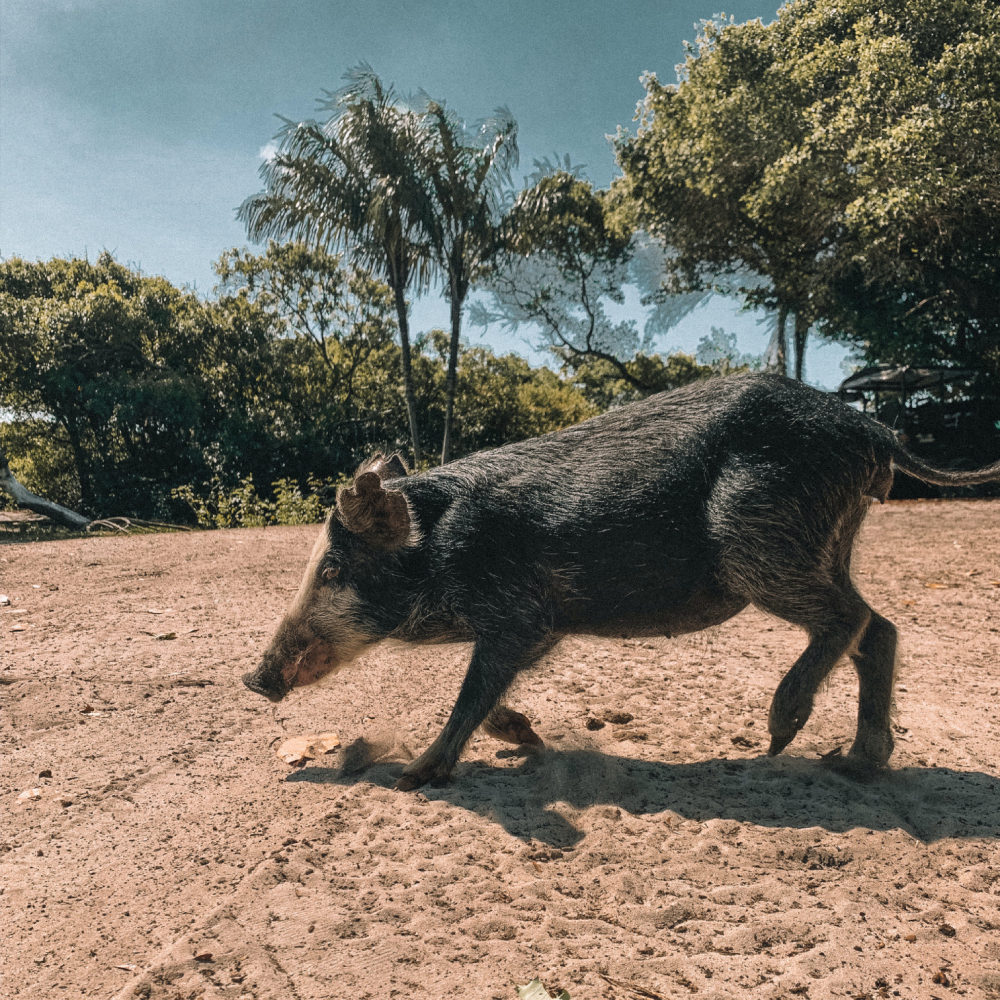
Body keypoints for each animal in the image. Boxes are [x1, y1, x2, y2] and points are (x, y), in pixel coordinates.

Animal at [242, 374, 1000, 788]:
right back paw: (851, 764)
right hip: (824, 542)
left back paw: (779, 736)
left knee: (852, 620)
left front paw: (413, 778)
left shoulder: (516, 611)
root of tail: (873, 428)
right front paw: (525, 739)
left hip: (760, 539)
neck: (444, 553)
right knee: (882, 628)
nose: (252, 678)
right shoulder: (541, 623)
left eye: (333, 569)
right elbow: (493, 690)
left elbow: (470, 692)